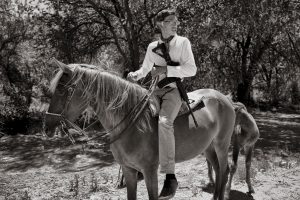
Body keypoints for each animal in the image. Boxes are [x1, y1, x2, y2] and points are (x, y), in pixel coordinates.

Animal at [44, 61, 236, 200]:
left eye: (62, 89)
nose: (47, 127)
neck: (132, 124)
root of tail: (224, 98)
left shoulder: (149, 171)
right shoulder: (129, 170)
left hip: (222, 144)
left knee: (224, 170)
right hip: (208, 147)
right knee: (218, 170)